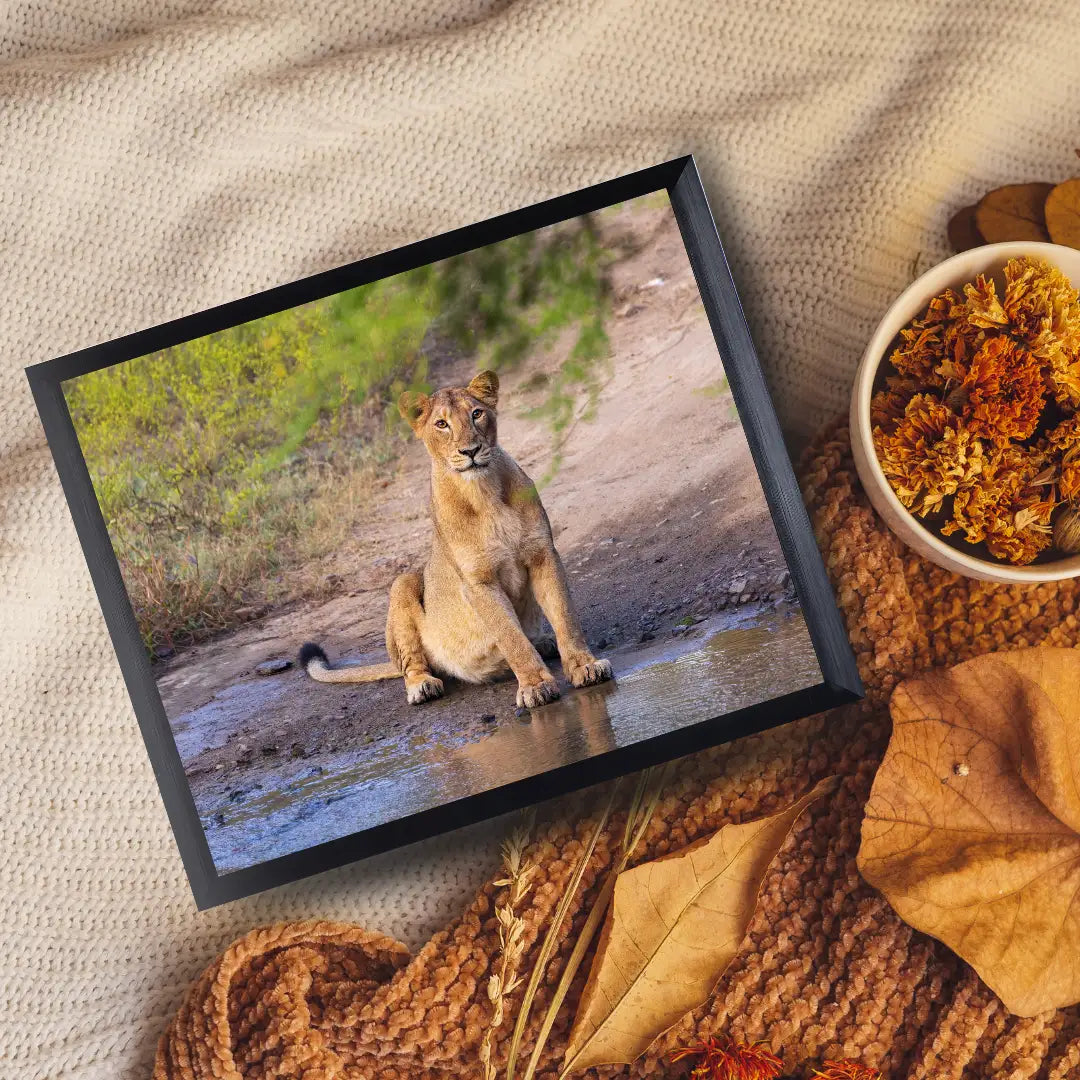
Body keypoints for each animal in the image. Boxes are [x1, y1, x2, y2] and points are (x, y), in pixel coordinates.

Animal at [299, 370, 613, 708]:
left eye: (476, 414)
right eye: (441, 424)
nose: (470, 451)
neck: (484, 493)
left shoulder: (543, 555)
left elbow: (565, 617)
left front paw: (585, 667)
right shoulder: (477, 583)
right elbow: (511, 638)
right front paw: (535, 685)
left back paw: (544, 641)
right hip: (404, 584)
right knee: (412, 662)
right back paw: (422, 686)